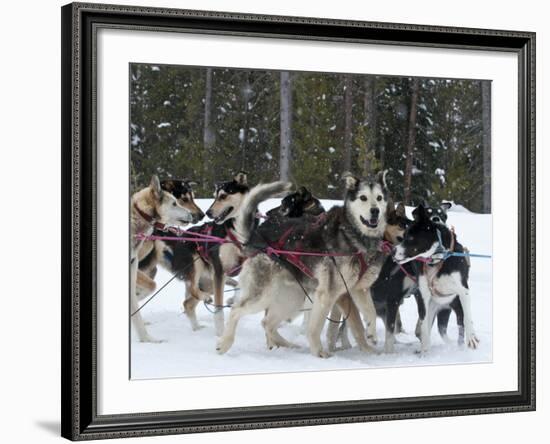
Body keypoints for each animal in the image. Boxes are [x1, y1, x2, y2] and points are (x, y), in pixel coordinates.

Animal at [220, 170, 392, 358]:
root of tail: (254, 237)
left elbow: (369, 314)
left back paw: (288, 345)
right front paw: (319, 352)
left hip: (293, 298)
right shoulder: (329, 293)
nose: (375, 211)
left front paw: (371, 341)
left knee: (267, 323)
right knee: (237, 310)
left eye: (379, 197)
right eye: (363, 197)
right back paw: (224, 343)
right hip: (265, 295)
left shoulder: (358, 289)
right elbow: (316, 327)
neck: (354, 236)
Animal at [394, 205, 480, 354]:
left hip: (455, 307)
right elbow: (423, 326)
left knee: (459, 328)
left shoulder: (463, 291)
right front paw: (424, 351)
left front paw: (471, 337)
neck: (438, 259)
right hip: (434, 309)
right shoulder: (423, 295)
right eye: (403, 236)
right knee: (431, 328)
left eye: (410, 237)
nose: (393, 252)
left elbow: (468, 318)